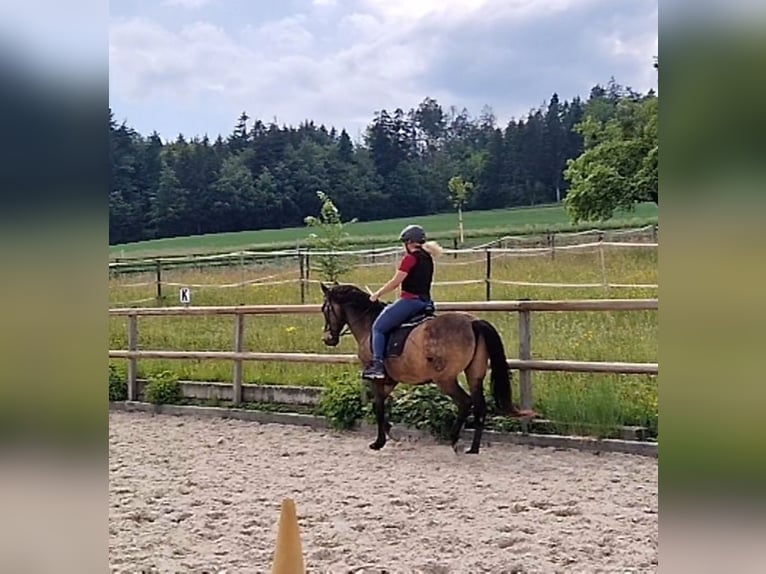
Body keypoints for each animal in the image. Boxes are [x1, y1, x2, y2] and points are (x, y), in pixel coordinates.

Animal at [319, 283, 535, 454]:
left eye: (325, 309)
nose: (328, 339)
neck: (368, 324)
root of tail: (473, 322)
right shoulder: (391, 380)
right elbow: (382, 404)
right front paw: (390, 432)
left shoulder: (377, 378)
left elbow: (377, 405)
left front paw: (379, 442)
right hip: (474, 375)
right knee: (479, 406)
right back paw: (473, 449)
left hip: (445, 379)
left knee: (465, 402)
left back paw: (453, 439)